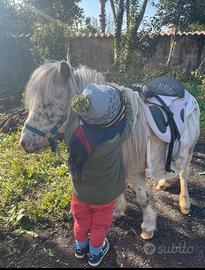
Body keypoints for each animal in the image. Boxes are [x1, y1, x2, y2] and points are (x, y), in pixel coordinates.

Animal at [19, 60, 200, 239]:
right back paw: (165, 182)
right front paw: (117, 211)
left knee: (184, 173)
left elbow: (142, 199)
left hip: (190, 148)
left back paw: (184, 202)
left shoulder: (135, 168)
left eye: (48, 104)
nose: (24, 143)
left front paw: (148, 227)